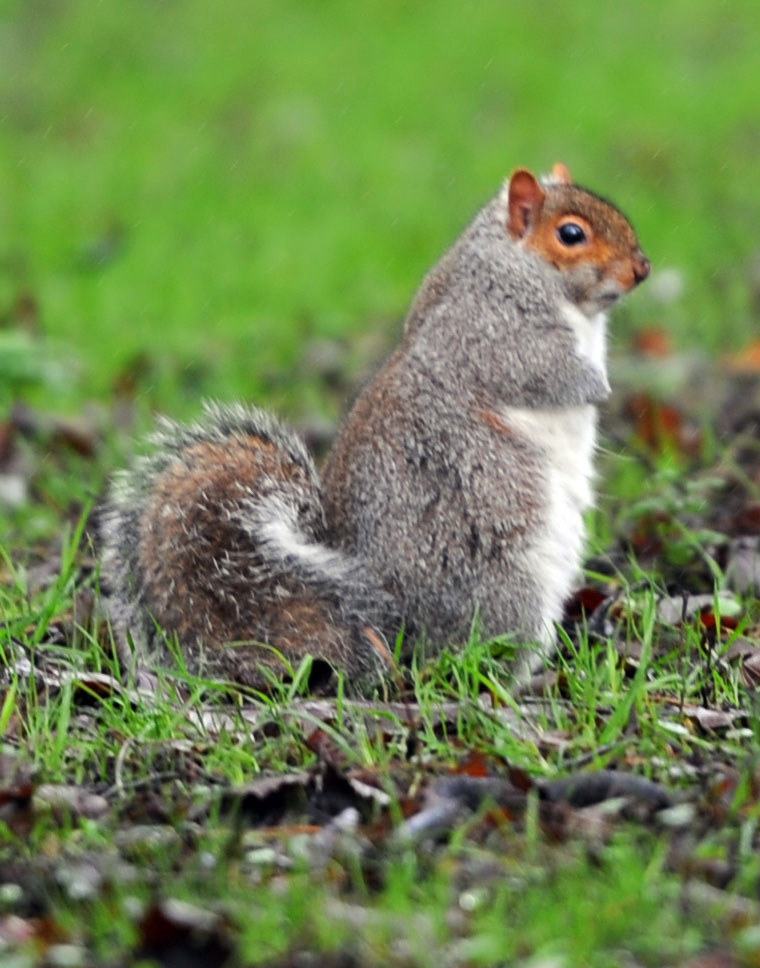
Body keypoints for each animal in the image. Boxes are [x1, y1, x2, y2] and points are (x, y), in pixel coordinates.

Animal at [98, 168, 652, 696]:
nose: (642, 268)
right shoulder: (491, 335)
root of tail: (388, 636)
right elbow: (547, 373)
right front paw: (601, 385)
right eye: (571, 234)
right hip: (504, 585)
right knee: (471, 663)